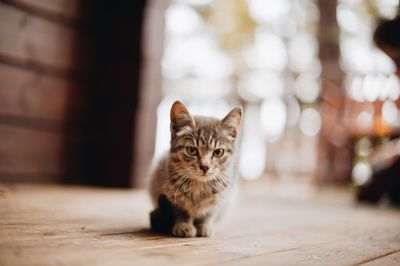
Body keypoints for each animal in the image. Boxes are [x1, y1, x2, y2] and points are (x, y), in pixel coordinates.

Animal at [149, 101, 242, 237]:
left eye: (218, 152)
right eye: (192, 150)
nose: (205, 166)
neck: (199, 185)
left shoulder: (219, 199)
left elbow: (208, 214)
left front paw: (205, 226)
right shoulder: (172, 195)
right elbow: (182, 212)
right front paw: (184, 226)